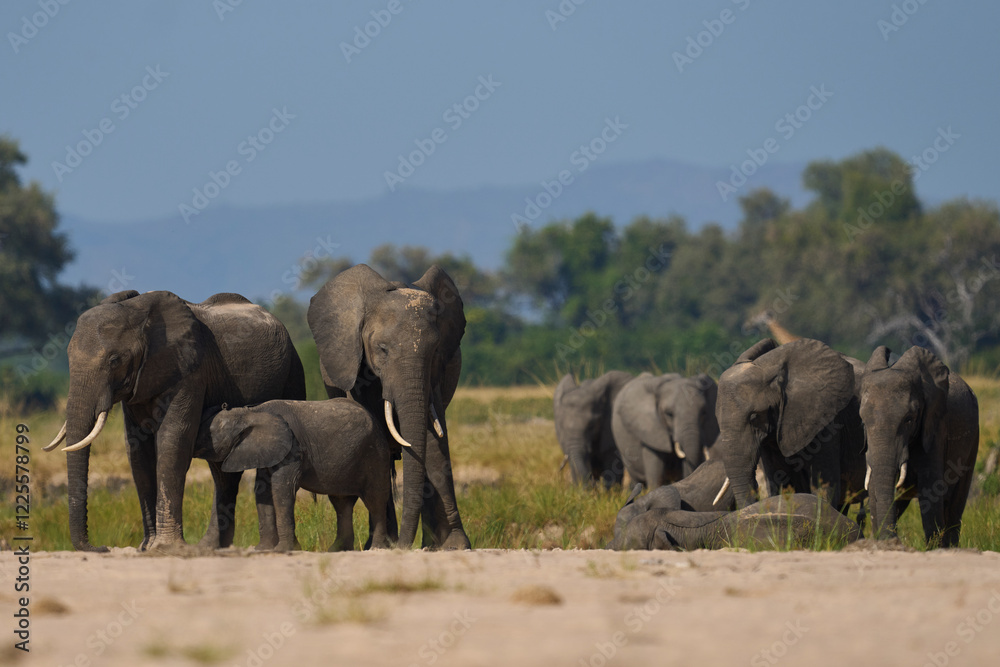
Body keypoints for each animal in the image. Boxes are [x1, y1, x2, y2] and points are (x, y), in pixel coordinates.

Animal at [44, 290, 306, 552]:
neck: (137, 313)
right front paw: (146, 547)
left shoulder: (189, 372)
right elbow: (138, 453)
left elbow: (173, 443)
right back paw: (210, 547)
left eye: (114, 360)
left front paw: (165, 547)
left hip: (293, 372)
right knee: (222, 472)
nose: (102, 548)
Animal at [195, 398, 396, 552]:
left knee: (375, 500)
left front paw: (283, 549)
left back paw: (376, 548)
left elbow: (282, 489)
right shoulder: (269, 451)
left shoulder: (292, 449)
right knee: (341, 503)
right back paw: (336, 550)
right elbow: (263, 492)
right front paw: (263, 549)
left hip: (375, 453)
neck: (252, 412)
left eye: (207, 434)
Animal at [307, 264, 469, 550]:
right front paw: (383, 545)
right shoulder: (354, 366)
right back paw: (385, 543)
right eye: (382, 349)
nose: (404, 546)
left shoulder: (434, 376)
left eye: (435, 350)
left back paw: (428, 544)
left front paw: (456, 546)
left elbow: (434, 442)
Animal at [860, 346, 979, 547]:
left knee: (955, 506)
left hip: (974, 440)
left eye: (909, 419)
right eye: (863, 420)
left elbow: (931, 491)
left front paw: (933, 549)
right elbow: (876, 486)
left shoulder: (935, 427)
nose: (893, 542)